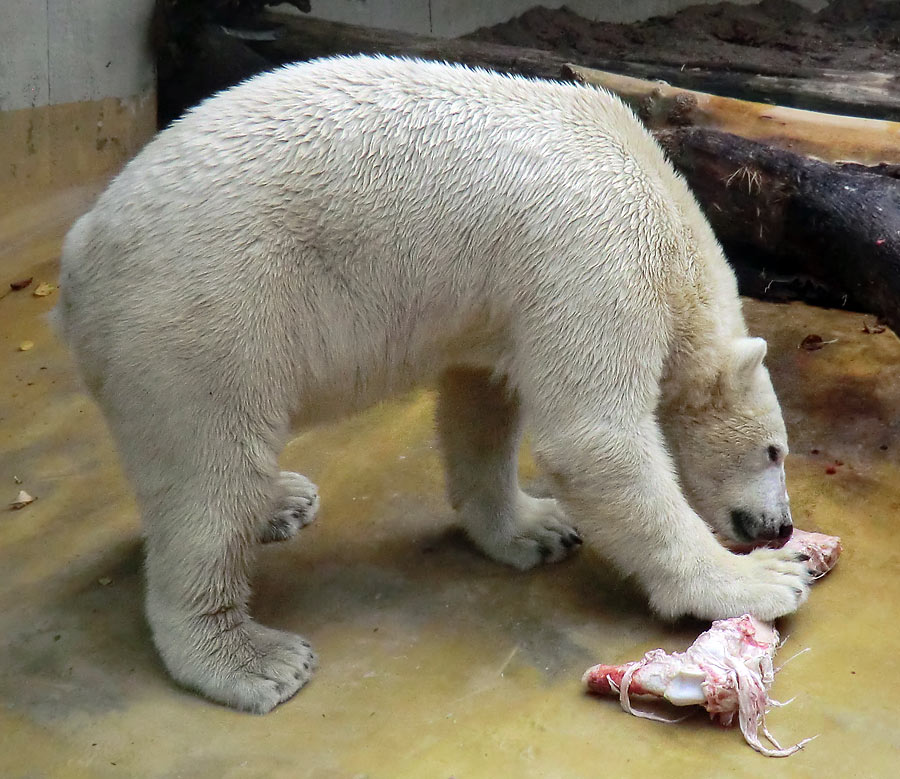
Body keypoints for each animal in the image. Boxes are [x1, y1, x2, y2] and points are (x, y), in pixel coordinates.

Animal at [59, 54, 812, 712]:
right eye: (775, 451)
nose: (779, 525)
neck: (663, 203)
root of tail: (78, 255)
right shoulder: (595, 252)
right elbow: (594, 441)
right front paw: (765, 580)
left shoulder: (500, 299)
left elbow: (481, 402)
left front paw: (537, 528)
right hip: (205, 314)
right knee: (212, 472)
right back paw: (253, 658)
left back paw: (284, 501)